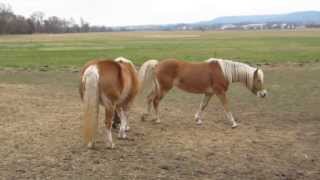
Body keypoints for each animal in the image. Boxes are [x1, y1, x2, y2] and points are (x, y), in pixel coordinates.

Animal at [140, 58, 268, 127]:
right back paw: (157, 119)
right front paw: (233, 123)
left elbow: (203, 105)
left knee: (149, 98)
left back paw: (145, 116)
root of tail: (157, 64)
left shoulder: (209, 93)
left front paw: (198, 120)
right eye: (258, 80)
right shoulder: (220, 92)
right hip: (164, 88)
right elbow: (226, 106)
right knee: (156, 101)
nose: (264, 94)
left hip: (157, 88)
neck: (223, 72)